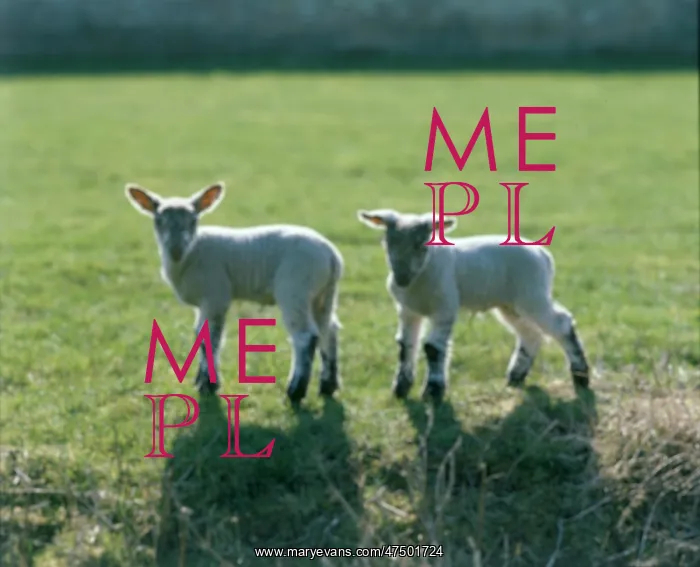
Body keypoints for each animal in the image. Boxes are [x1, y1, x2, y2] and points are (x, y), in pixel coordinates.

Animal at [125, 181, 343, 404]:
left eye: (194, 220)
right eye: (158, 220)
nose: (176, 249)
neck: (192, 253)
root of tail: (331, 255)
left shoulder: (215, 295)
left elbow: (211, 337)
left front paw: (208, 385)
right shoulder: (204, 301)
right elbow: (199, 334)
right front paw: (201, 380)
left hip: (295, 288)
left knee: (305, 336)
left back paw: (295, 391)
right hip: (323, 295)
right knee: (329, 330)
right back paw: (328, 385)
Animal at [357, 208, 590, 402]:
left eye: (422, 245)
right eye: (387, 243)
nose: (401, 279)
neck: (421, 277)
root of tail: (543, 254)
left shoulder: (445, 308)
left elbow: (433, 348)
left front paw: (433, 391)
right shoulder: (408, 311)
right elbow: (405, 346)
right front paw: (400, 389)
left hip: (532, 295)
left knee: (561, 324)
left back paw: (581, 377)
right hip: (511, 304)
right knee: (530, 334)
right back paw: (515, 378)